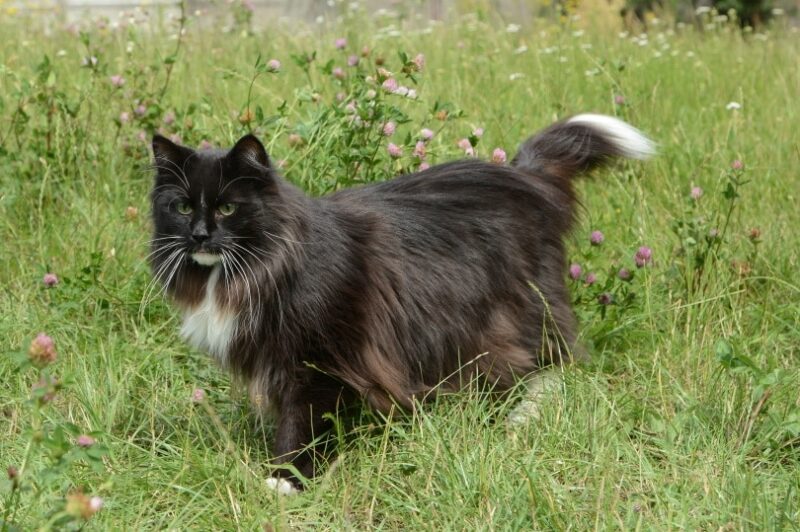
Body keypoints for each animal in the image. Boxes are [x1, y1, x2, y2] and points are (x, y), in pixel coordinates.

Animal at [152, 114, 656, 492]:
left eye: (227, 208)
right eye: (182, 207)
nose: (199, 235)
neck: (256, 267)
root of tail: (522, 174)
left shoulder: (317, 362)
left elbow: (302, 424)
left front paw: (287, 479)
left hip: (516, 311)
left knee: (550, 363)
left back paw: (520, 416)